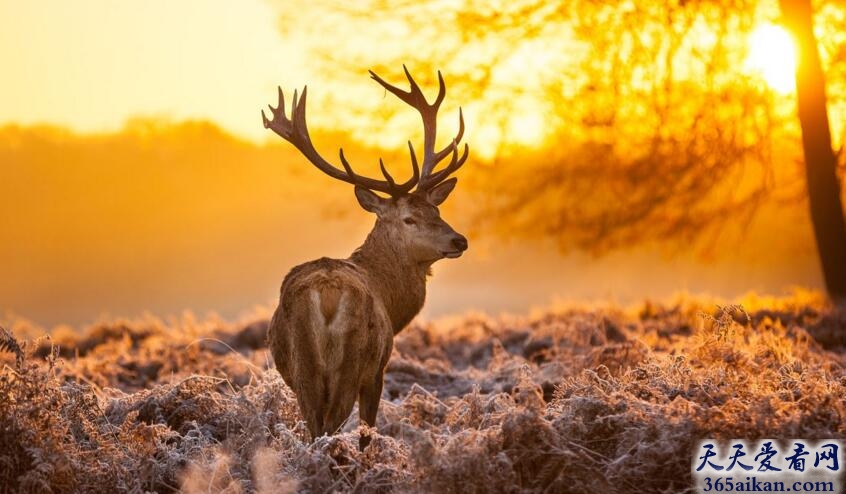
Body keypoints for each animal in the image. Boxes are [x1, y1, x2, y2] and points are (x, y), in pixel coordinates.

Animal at [262, 65, 468, 448]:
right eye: (409, 218)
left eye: (437, 210)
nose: (460, 240)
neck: (391, 299)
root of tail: (327, 293)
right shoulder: (378, 371)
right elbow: (367, 431)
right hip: (353, 361)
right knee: (331, 427)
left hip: (302, 368)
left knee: (314, 428)